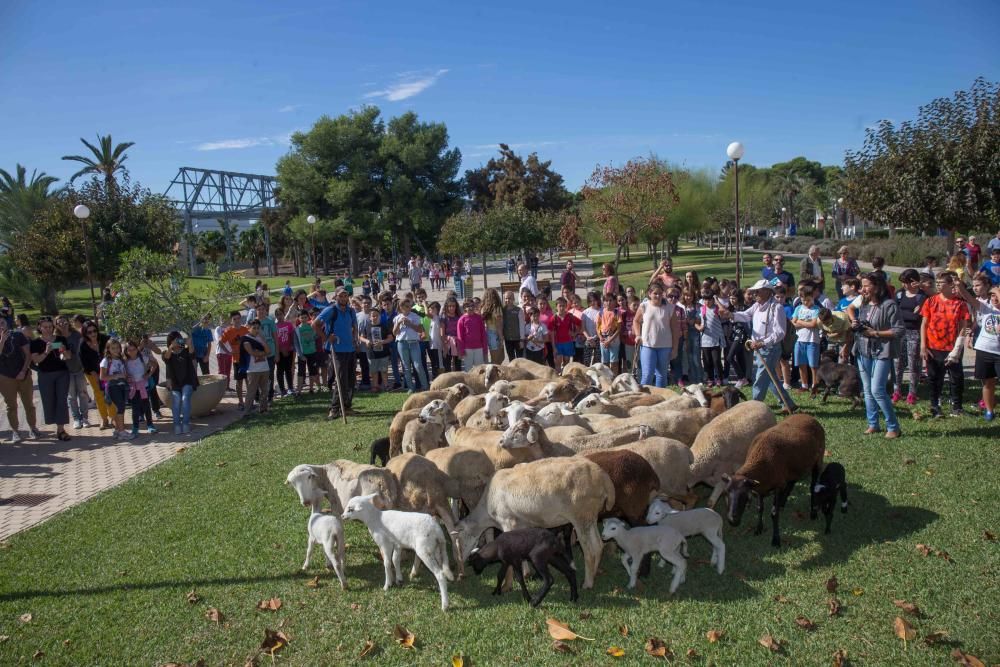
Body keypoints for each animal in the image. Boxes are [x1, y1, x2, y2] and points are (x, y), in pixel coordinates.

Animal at [724, 414, 824, 552]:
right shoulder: (760, 488)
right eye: (726, 492)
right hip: (794, 468)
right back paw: (782, 503)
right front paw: (758, 529)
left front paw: (776, 539)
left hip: (818, 460)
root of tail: (808, 416)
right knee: (792, 482)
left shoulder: (778, 486)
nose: (732, 519)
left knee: (813, 485)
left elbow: (774, 513)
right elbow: (760, 508)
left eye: (744, 495)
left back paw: (813, 513)